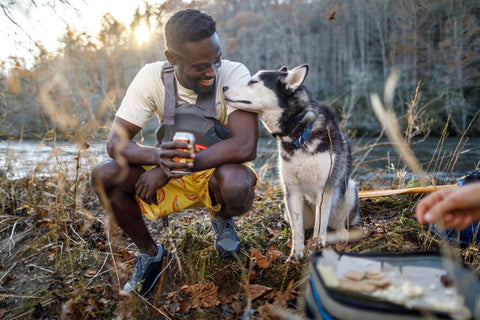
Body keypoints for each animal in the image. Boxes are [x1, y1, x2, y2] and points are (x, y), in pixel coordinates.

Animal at [223, 63, 358, 262]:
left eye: (253, 82)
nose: (223, 87)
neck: (299, 134)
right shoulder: (291, 190)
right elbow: (297, 230)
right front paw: (295, 254)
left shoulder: (324, 188)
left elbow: (321, 224)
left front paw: (317, 245)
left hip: (349, 190)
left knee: (337, 222)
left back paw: (341, 232)